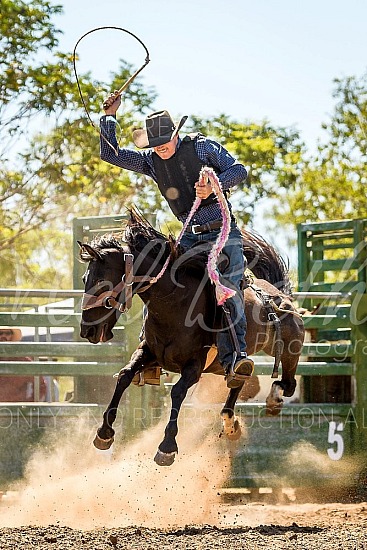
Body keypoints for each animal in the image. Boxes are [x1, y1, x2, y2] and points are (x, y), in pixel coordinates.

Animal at [79, 210, 306, 466]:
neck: (175, 302)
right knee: (239, 381)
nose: (86, 331)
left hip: (290, 350)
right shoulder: (149, 352)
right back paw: (231, 425)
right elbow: (125, 376)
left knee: (287, 384)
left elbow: (177, 392)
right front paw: (104, 434)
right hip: (227, 364)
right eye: (85, 279)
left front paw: (167, 447)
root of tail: (279, 295)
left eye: (100, 282)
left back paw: (273, 400)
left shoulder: (194, 365)